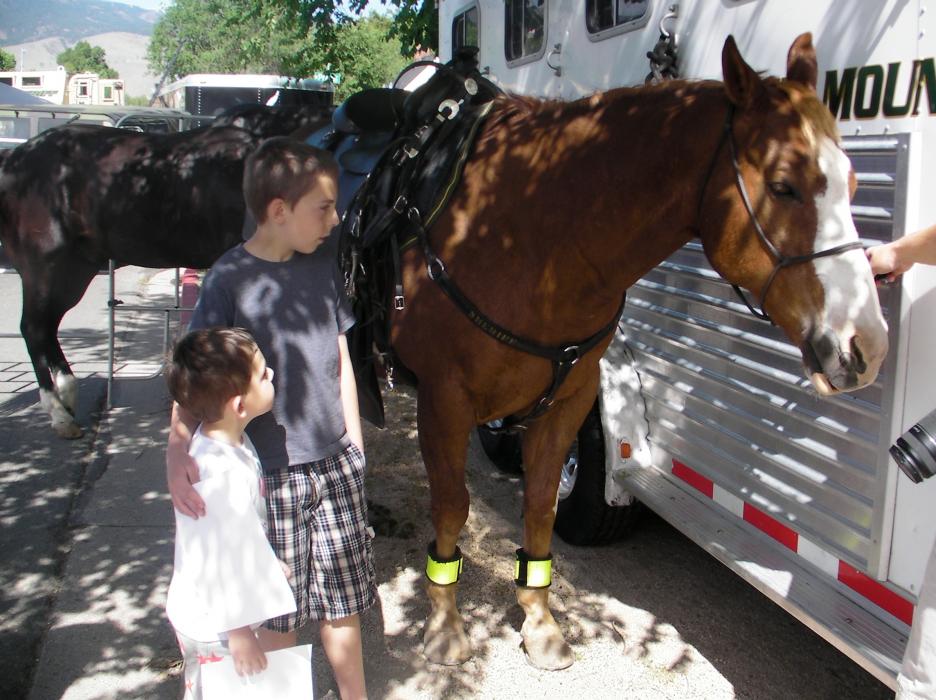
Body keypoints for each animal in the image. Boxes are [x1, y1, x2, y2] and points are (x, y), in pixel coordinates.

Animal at [0, 104, 331, 438]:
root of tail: (14, 159)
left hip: (75, 271)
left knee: (46, 329)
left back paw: (67, 399)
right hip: (46, 267)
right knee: (34, 328)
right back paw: (59, 414)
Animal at [379, 34, 888, 670]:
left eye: (853, 183)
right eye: (782, 186)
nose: (866, 344)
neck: (525, 232)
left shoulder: (568, 401)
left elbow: (541, 505)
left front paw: (540, 623)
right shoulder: (443, 400)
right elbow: (452, 506)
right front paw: (446, 624)